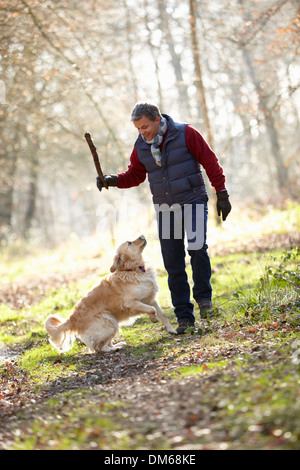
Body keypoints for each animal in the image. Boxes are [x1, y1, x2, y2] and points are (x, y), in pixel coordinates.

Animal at [44, 235, 176, 352]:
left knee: (104, 344)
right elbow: (151, 309)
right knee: (99, 348)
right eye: (129, 243)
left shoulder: (150, 298)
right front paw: (153, 318)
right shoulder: (131, 303)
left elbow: (162, 314)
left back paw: (119, 344)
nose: (142, 235)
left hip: (113, 323)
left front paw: (171, 329)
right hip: (109, 322)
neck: (132, 270)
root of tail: (72, 319)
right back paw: (115, 348)